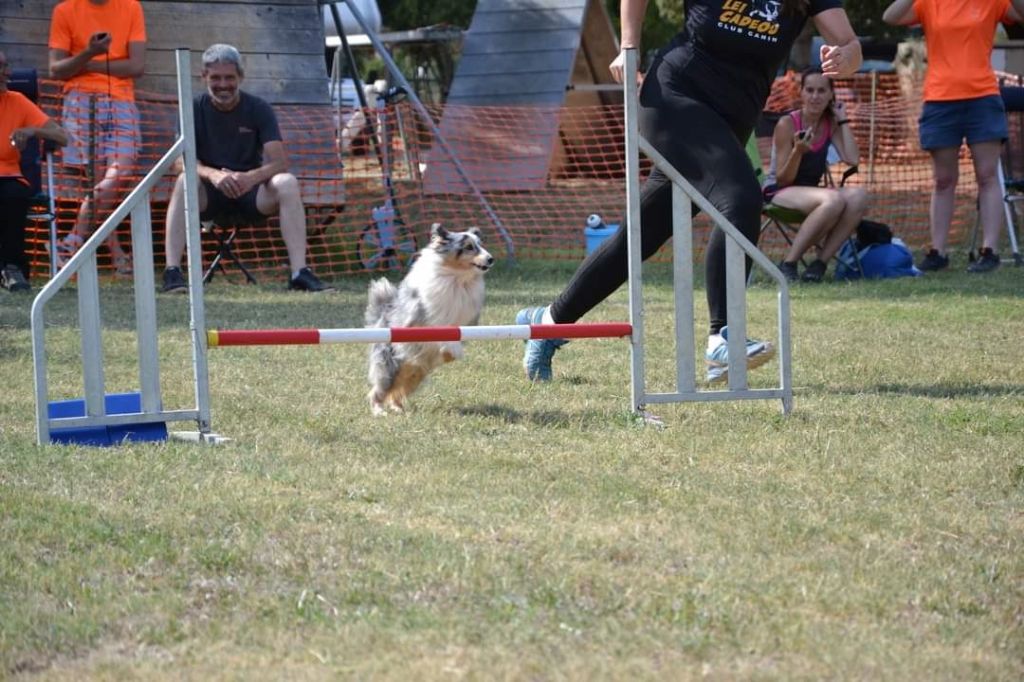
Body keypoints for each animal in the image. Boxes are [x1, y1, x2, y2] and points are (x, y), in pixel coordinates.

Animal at [366, 224, 493, 413]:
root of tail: (382, 317)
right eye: (469, 247)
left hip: (415, 373)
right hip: (390, 366)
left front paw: (450, 353)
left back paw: (398, 409)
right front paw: (447, 349)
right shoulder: (419, 320)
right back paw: (379, 411)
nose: (491, 259)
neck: (457, 278)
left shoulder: (464, 322)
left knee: (397, 390)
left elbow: (454, 339)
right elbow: (436, 331)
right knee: (378, 390)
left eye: (480, 244)